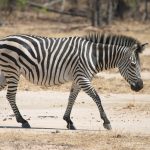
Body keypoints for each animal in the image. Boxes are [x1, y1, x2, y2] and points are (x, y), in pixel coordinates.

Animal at [0, 33, 146, 130]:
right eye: (133, 64)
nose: (140, 86)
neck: (94, 56)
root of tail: (3, 39)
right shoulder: (82, 77)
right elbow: (97, 97)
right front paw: (106, 122)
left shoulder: (78, 78)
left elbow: (72, 97)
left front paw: (68, 121)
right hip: (12, 71)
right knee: (10, 95)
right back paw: (23, 121)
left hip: (5, 72)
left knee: (7, 94)